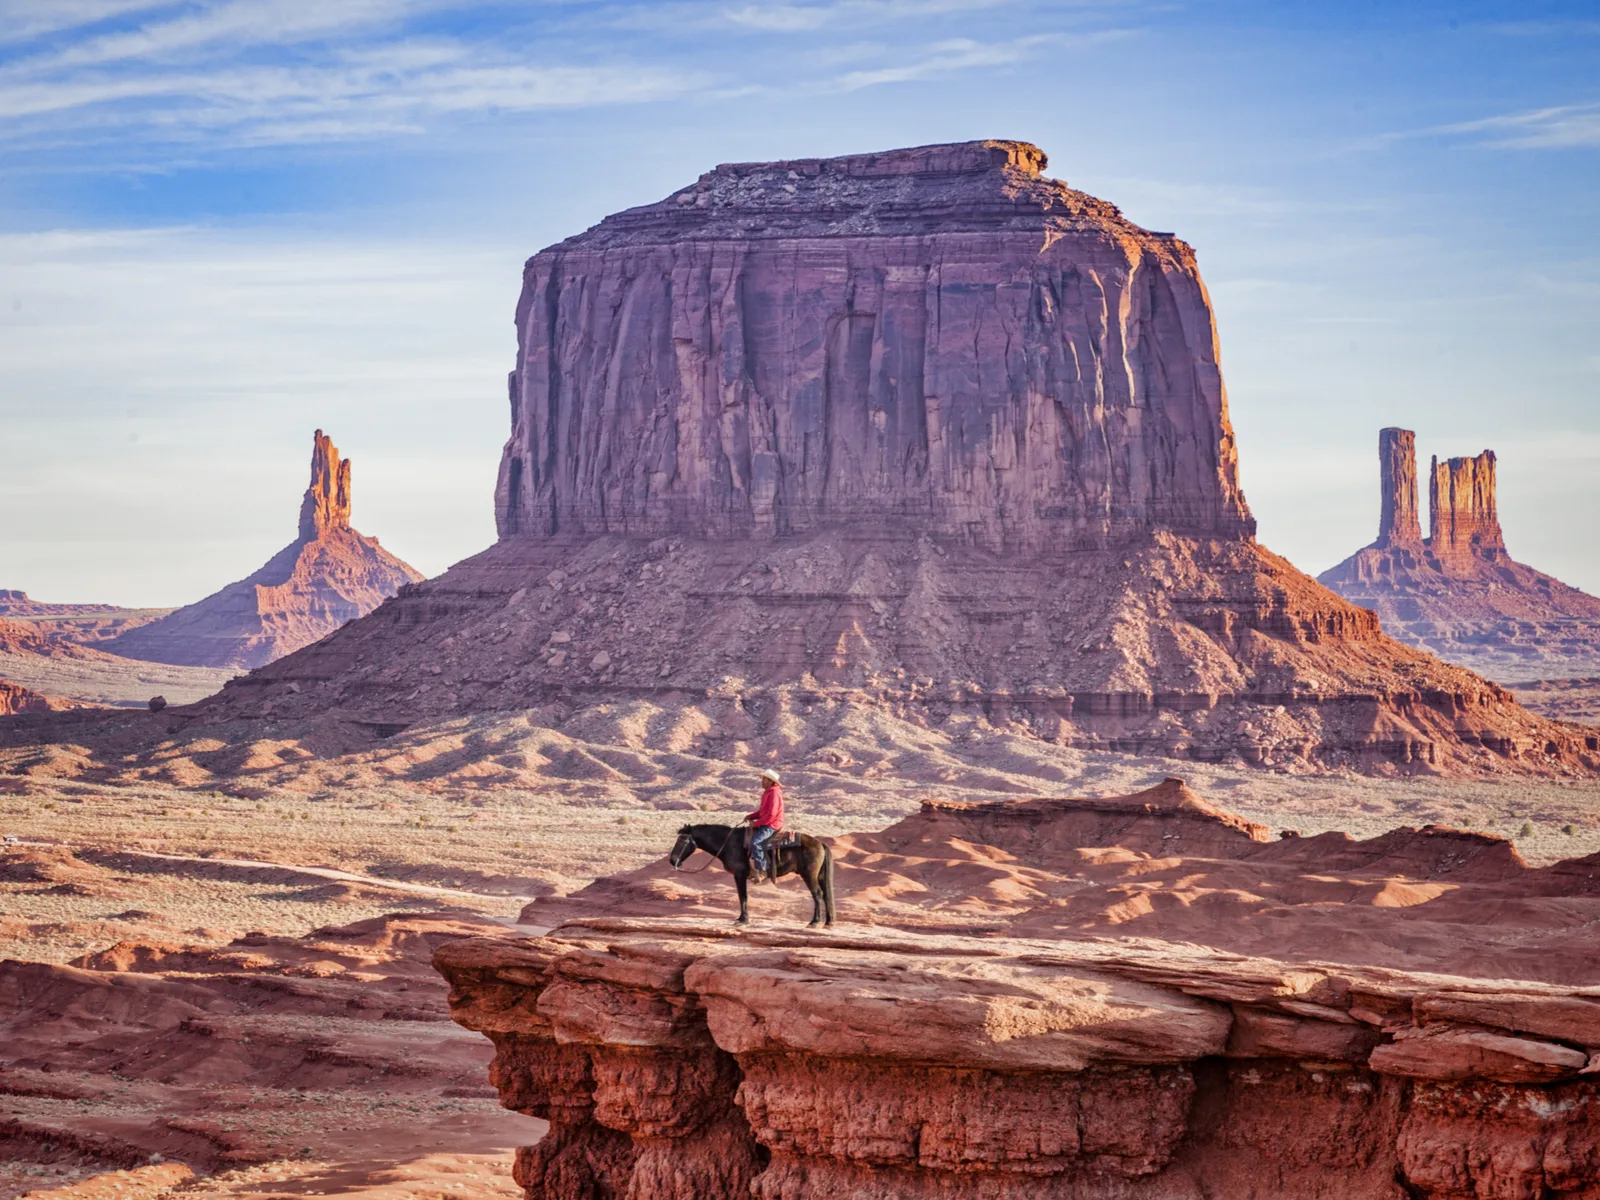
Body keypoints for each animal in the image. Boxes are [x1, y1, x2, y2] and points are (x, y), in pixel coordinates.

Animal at [668, 825, 838, 928]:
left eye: (682, 839)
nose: (672, 860)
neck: (728, 843)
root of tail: (820, 843)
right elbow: (743, 896)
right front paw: (742, 918)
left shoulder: (739, 875)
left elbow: (742, 896)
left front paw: (743, 919)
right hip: (819, 875)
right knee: (826, 895)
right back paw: (828, 922)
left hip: (809, 874)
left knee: (817, 894)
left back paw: (814, 922)